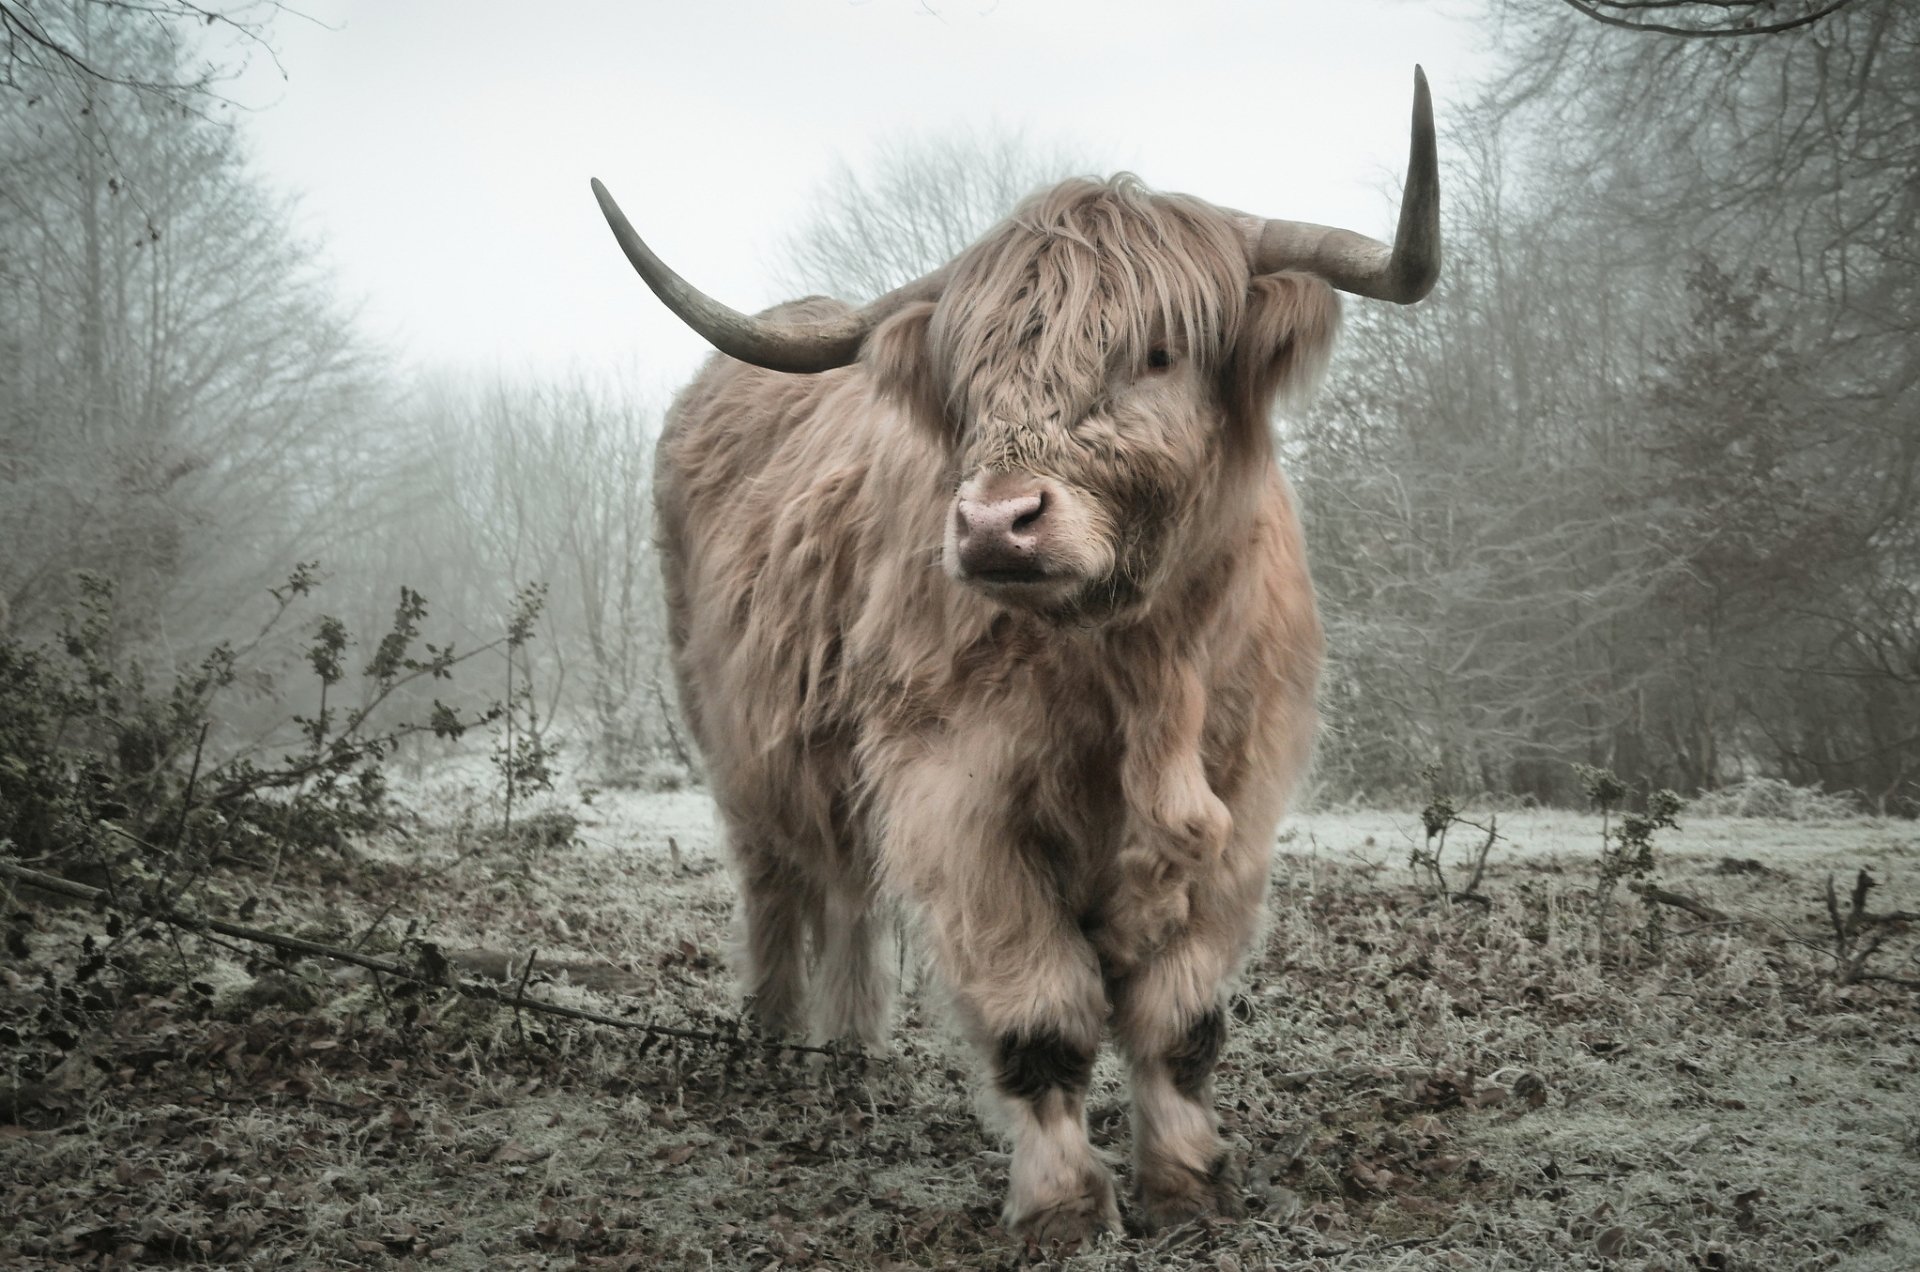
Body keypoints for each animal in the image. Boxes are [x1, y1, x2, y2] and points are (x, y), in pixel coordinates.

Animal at [590, 68, 1440, 1242]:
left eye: (1159, 352)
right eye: (972, 376)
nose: (997, 523)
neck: (1140, 670)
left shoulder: (1241, 804)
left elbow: (1181, 1020)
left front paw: (1188, 1183)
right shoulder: (958, 799)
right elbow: (1043, 1017)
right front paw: (1065, 1207)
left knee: (848, 893)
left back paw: (850, 1052)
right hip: (735, 739)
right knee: (777, 885)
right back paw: (773, 1044)